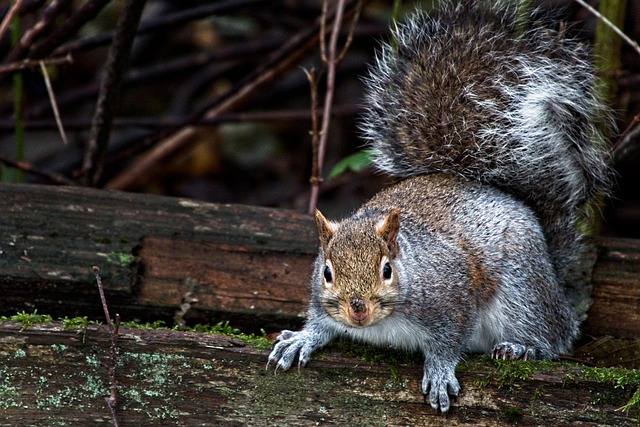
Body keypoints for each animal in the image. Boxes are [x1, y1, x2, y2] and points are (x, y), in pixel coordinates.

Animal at [268, 0, 613, 413]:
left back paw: (522, 347)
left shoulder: (453, 294)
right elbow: (320, 320)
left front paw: (439, 370)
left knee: (554, 337)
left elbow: (450, 340)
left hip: (522, 289)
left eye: (387, 269)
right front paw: (302, 338)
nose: (358, 310)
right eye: (327, 273)